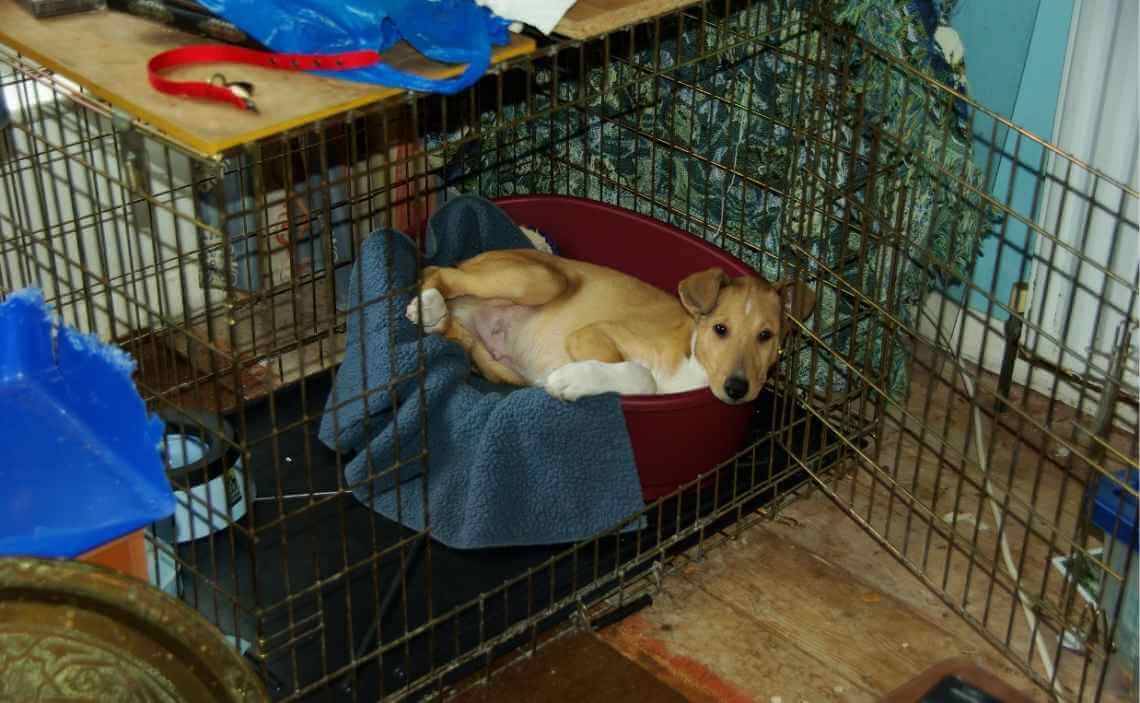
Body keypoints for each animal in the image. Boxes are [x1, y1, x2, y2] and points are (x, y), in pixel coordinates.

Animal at [405, 244, 816, 401]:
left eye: (766, 336)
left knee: (455, 331)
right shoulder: (591, 334)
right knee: (436, 271)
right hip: (537, 280)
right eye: (721, 329)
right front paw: (571, 380)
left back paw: (436, 314)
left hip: (499, 365)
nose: (736, 389)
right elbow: (643, 376)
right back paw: (426, 302)